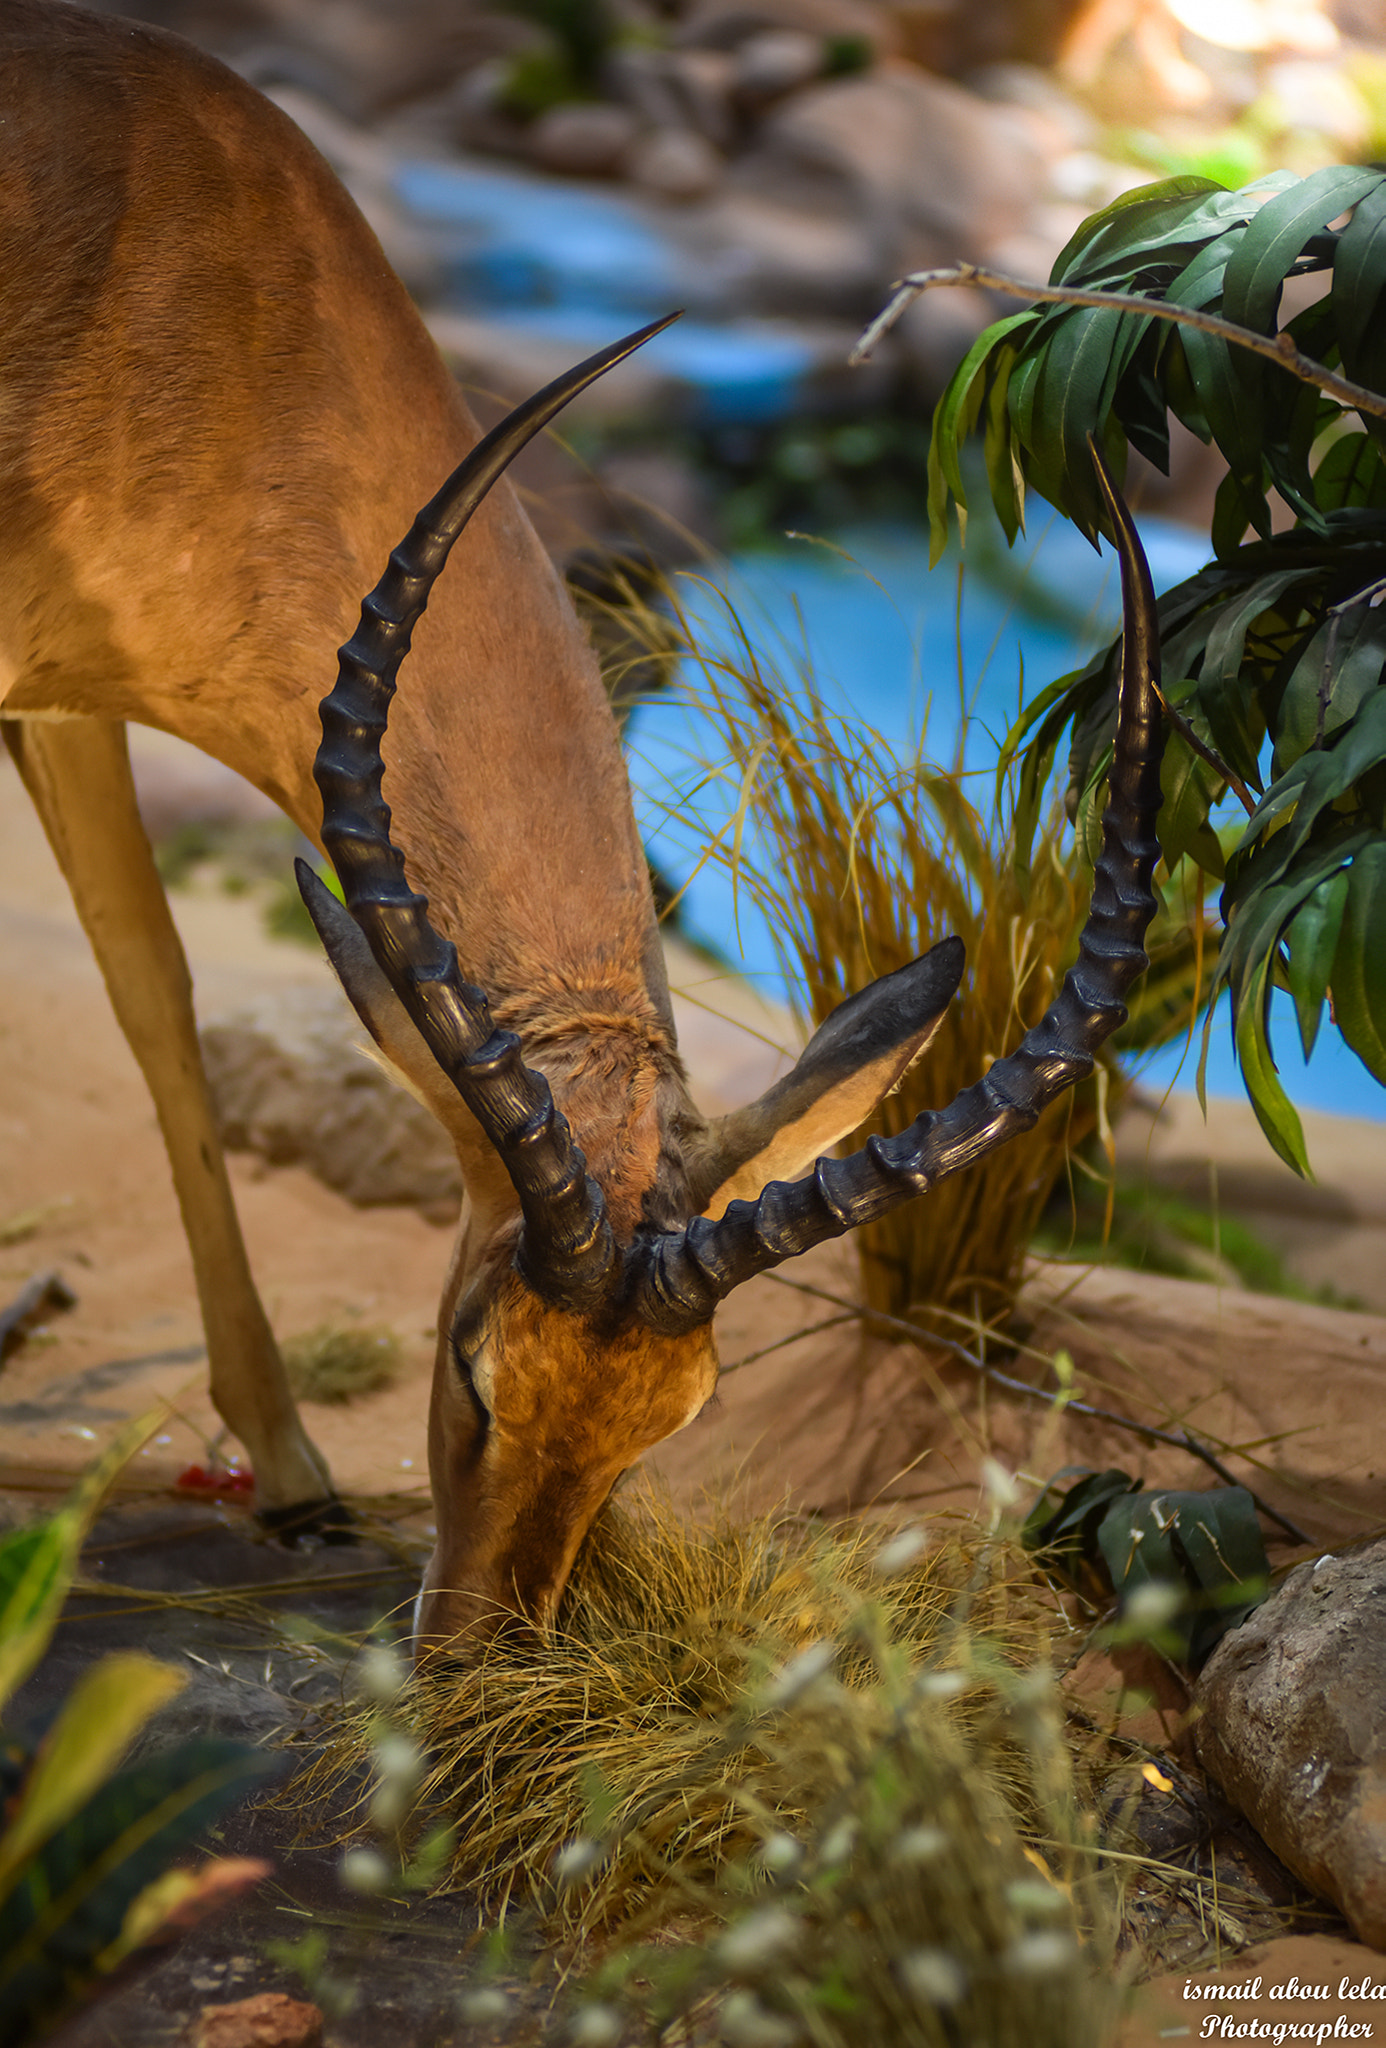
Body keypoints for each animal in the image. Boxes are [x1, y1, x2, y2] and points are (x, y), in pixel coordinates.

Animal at [1, 0, 1166, 1648]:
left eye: (675, 1415)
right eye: (468, 1360)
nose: (479, 1666)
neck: (190, 289)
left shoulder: (60, 699)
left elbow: (154, 1000)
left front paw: (291, 1477)